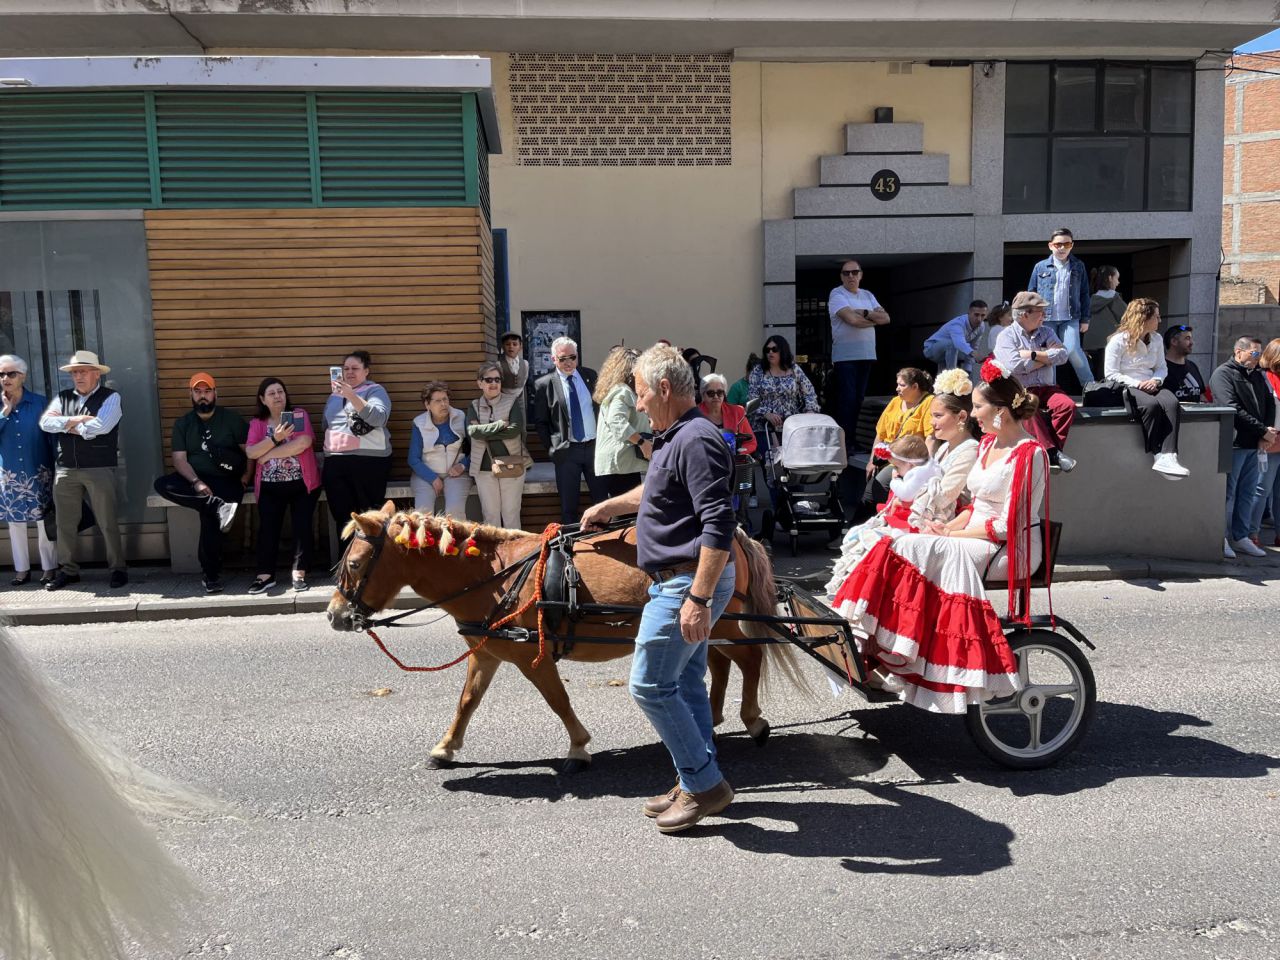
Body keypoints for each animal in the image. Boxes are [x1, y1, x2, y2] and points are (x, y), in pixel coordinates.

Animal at [325, 504, 803, 773]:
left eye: (354, 563)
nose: (334, 614)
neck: (494, 574)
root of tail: (733, 534)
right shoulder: (488, 651)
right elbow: (468, 701)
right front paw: (445, 748)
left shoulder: (529, 656)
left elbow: (557, 700)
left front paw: (578, 747)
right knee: (722, 662)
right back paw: (716, 717)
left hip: (716, 618)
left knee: (749, 660)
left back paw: (753, 719)